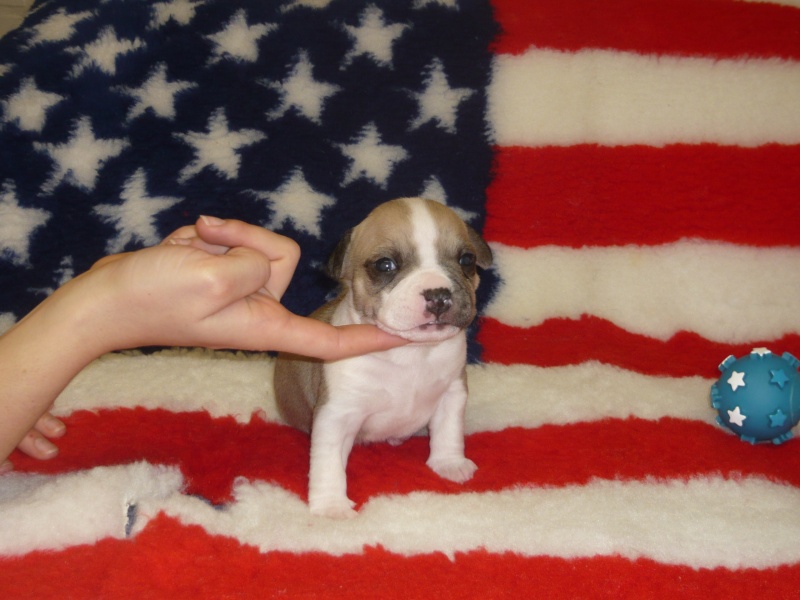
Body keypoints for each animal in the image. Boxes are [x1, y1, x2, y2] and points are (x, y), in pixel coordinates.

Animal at [272, 199, 490, 516]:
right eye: (385, 265)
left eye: (466, 260)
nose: (438, 295)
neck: (410, 352)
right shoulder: (336, 415)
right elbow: (327, 463)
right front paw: (331, 505)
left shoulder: (452, 392)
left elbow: (448, 430)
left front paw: (449, 462)